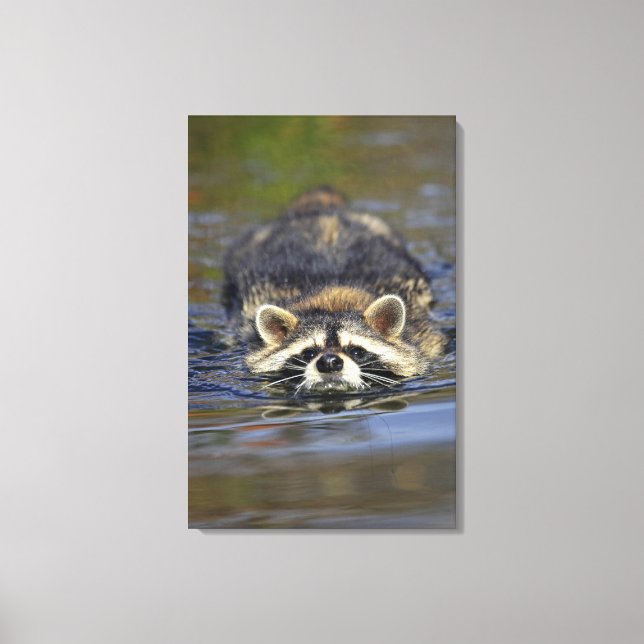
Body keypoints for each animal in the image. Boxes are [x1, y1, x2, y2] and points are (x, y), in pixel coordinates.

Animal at [223, 187, 446, 392]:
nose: (329, 362)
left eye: (356, 351)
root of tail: (322, 209)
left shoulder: (426, 338)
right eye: (309, 353)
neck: (333, 297)